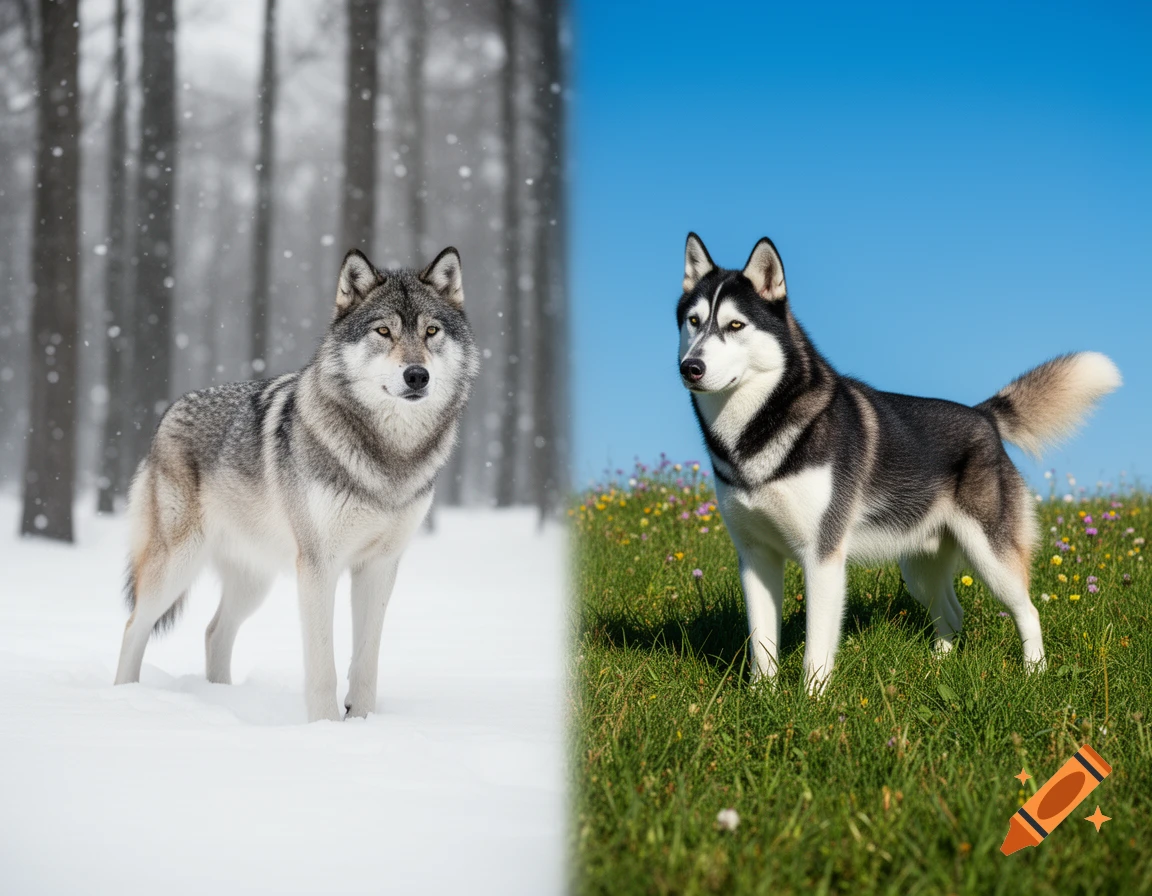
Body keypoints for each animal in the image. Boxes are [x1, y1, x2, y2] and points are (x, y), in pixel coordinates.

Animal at [113, 247, 480, 722]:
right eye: (383, 331)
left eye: (431, 331)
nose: (417, 375)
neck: (389, 456)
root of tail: (168, 413)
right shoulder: (319, 567)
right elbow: (323, 665)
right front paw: (325, 728)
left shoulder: (380, 566)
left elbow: (367, 661)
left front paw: (362, 722)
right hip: (175, 567)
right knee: (133, 626)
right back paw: (124, 699)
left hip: (253, 583)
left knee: (214, 632)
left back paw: (223, 700)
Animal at [677, 233, 1120, 692]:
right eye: (693, 321)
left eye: (735, 325)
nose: (690, 367)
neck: (756, 429)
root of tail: (983, 416)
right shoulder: (756, 557)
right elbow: (761, 646)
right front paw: (761, 698)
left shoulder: (823, 556)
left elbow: (817, 649)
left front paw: (811, 700)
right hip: (918, 565)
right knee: (952, 613)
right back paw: (939, 665)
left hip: (991, 556)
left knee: (1027, 610)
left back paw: (1034, 672)